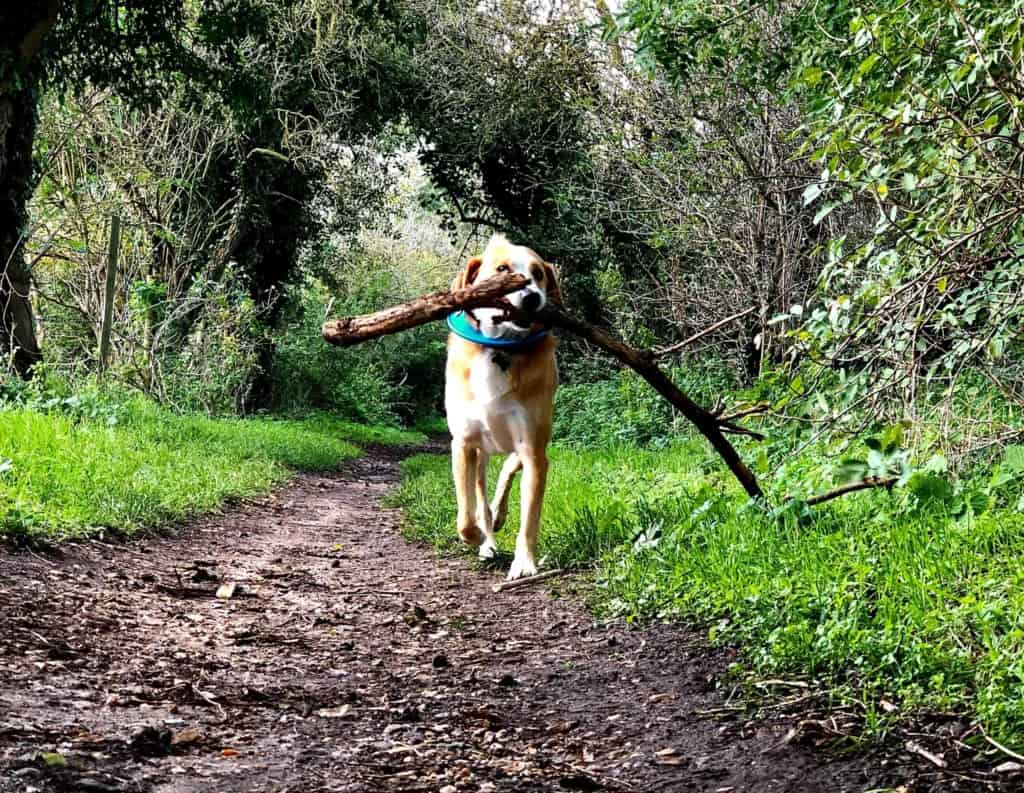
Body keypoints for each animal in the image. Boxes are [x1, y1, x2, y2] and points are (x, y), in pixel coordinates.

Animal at [444, 232, 561, 581]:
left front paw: (524, 563)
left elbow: (530, 519)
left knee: (509, 469)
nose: (532, 298)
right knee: (482, 495)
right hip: (481, 453)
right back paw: (488, 536)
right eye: (502, 270)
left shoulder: (534, 450)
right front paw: (478, 538)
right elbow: (466, 515)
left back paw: (499, 514)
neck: (499, 350)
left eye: (539, 274)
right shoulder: (464, 444)